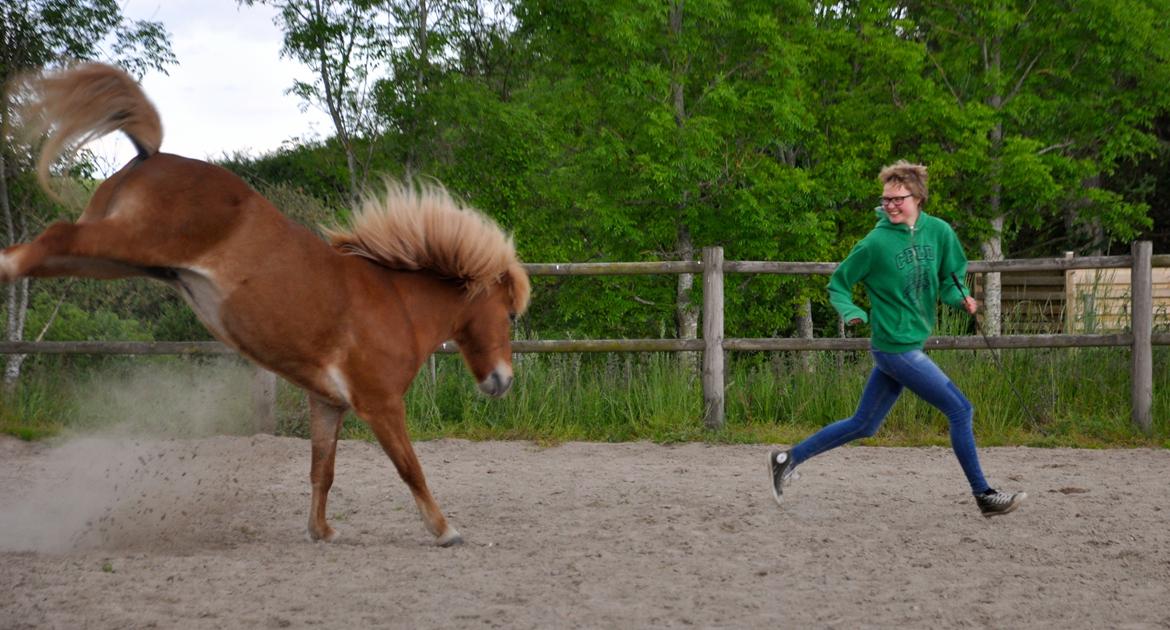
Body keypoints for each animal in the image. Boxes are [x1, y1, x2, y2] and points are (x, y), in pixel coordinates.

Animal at [3, 64, 531, 543]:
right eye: (509, 314)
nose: (502, 381)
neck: (398, 305)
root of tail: (152, 155)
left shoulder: (328, 403)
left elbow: (323, 471)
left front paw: (321, 531)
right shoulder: (381, 404)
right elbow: (410, 468)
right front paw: (445, 531)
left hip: (111, 258)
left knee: (46, 251)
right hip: (126, 244)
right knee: (49, 238)